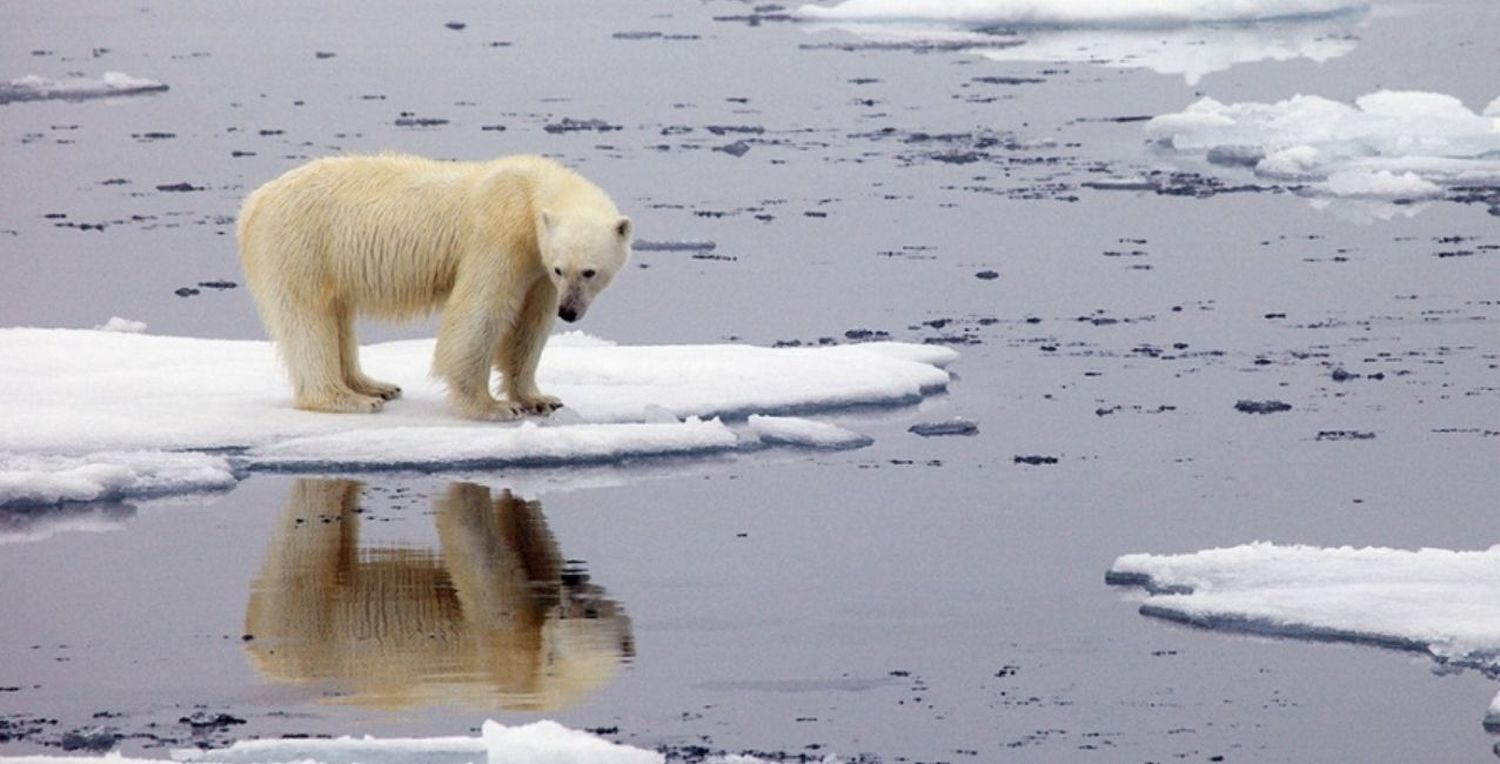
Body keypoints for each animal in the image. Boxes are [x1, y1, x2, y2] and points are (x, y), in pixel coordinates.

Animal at [238, 152, 633, 420]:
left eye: (588, 272)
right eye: (562, 269)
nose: (569, 312)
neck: (528, 191)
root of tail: (255, 202)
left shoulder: (535, 267)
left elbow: (531, 325)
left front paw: (539, 398)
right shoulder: (500, 236)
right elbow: (481, 311)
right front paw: (493, 407)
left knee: (338, 315)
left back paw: (375, 385)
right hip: (301, 244)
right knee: (307, 318)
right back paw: (346, 398)